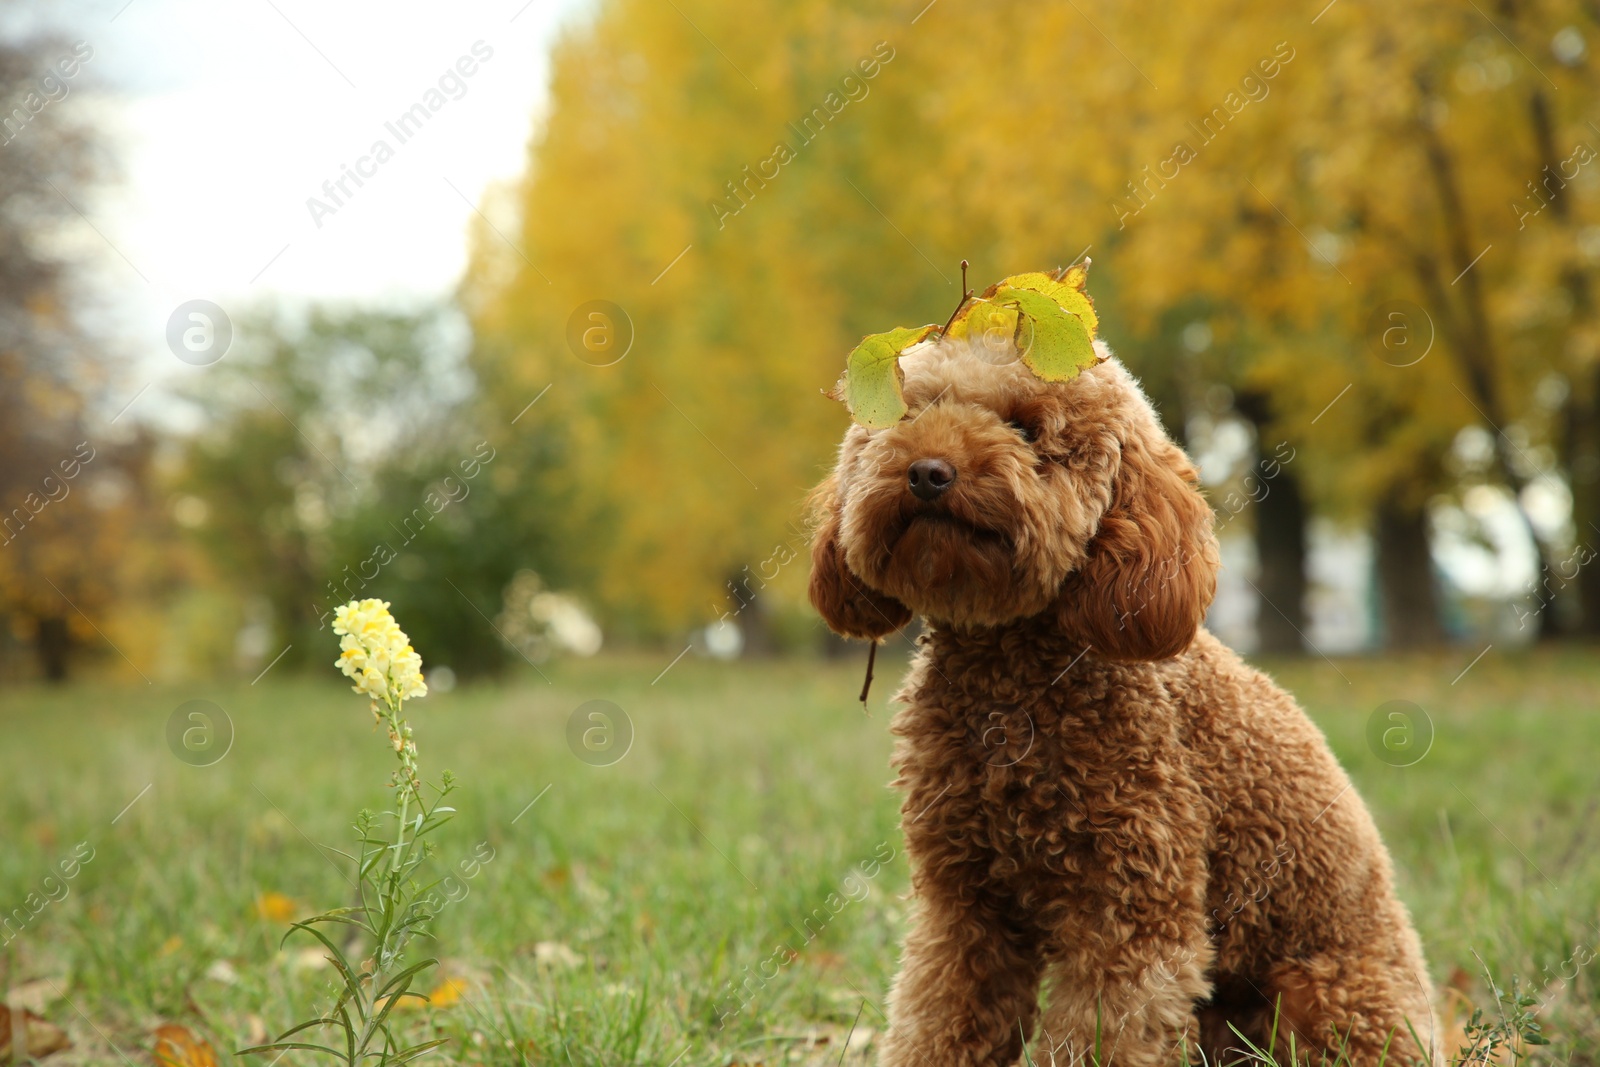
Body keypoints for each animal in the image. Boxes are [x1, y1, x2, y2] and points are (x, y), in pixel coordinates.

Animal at [812, 335, 1440, 1067]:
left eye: (1027, 428)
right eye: (910, 414)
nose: (927, 472)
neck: (1010, 683)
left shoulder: (1132, 912)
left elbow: (1103, 1032)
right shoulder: (964, 908)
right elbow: (938, 1017)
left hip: (1324, 995)